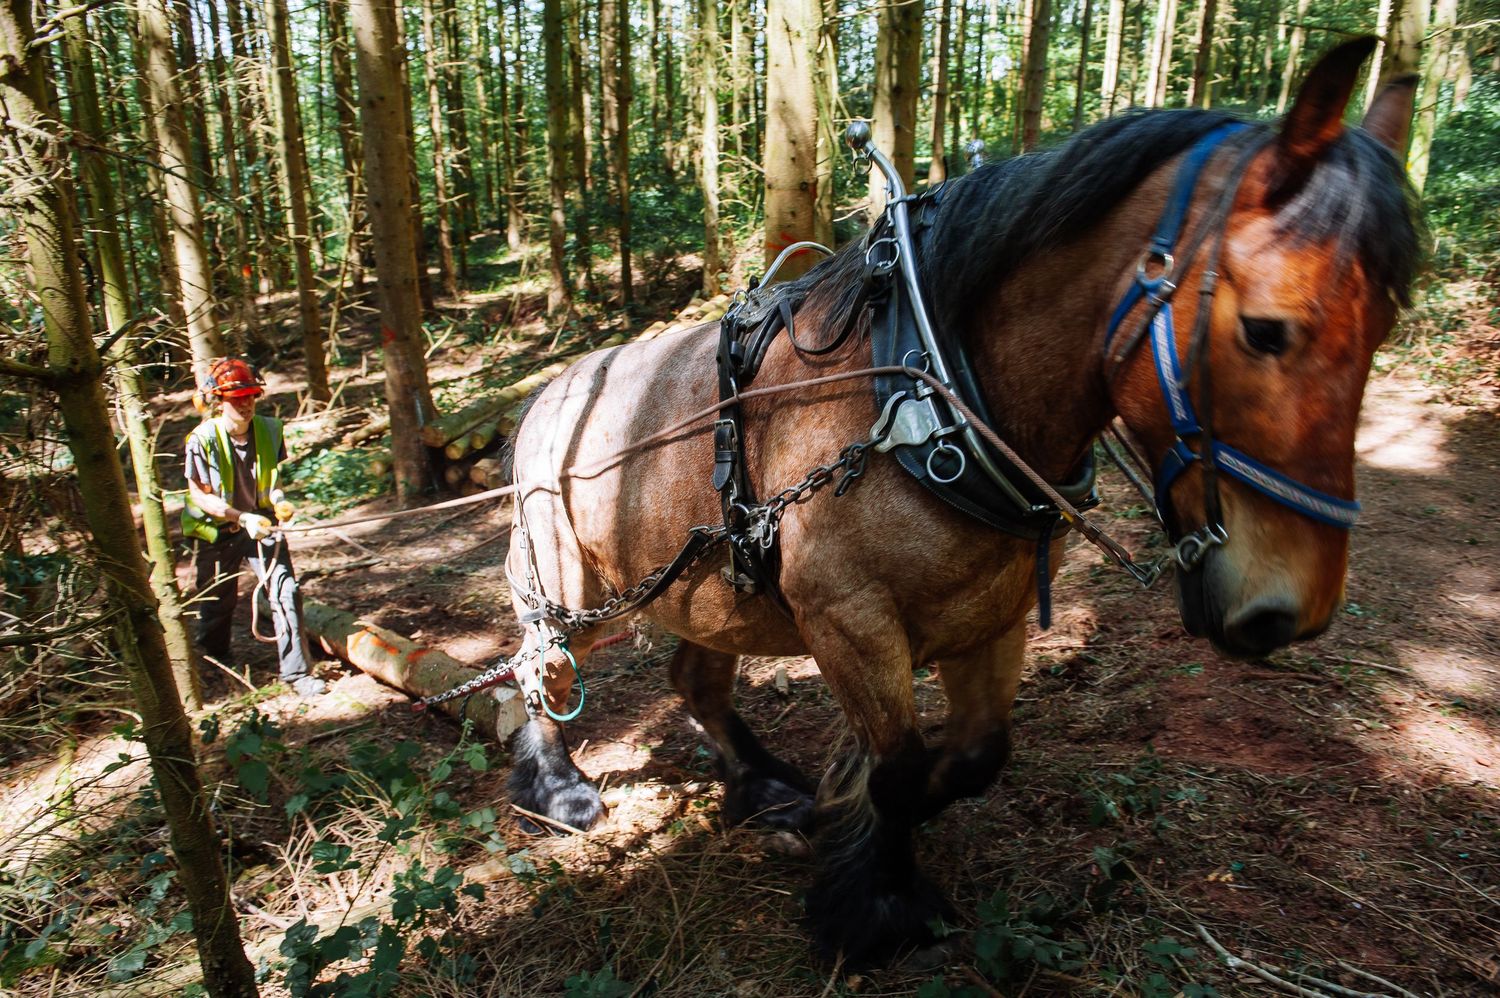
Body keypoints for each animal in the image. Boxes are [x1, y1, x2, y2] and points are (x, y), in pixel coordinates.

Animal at [499, 39, 1420, 966]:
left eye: (1382, 328)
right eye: (1266, 329)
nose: (1291, 612)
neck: (930, 389)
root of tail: (546, 394)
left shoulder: (992, 614)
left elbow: (973, 756)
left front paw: (839, 827)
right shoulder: (847, 618)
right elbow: (899, 769)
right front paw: (871, 899)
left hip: (707, 592)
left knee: (692, 676)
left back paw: (765, 788)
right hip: (573, 589)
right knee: (538, 669)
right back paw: (559, 791)